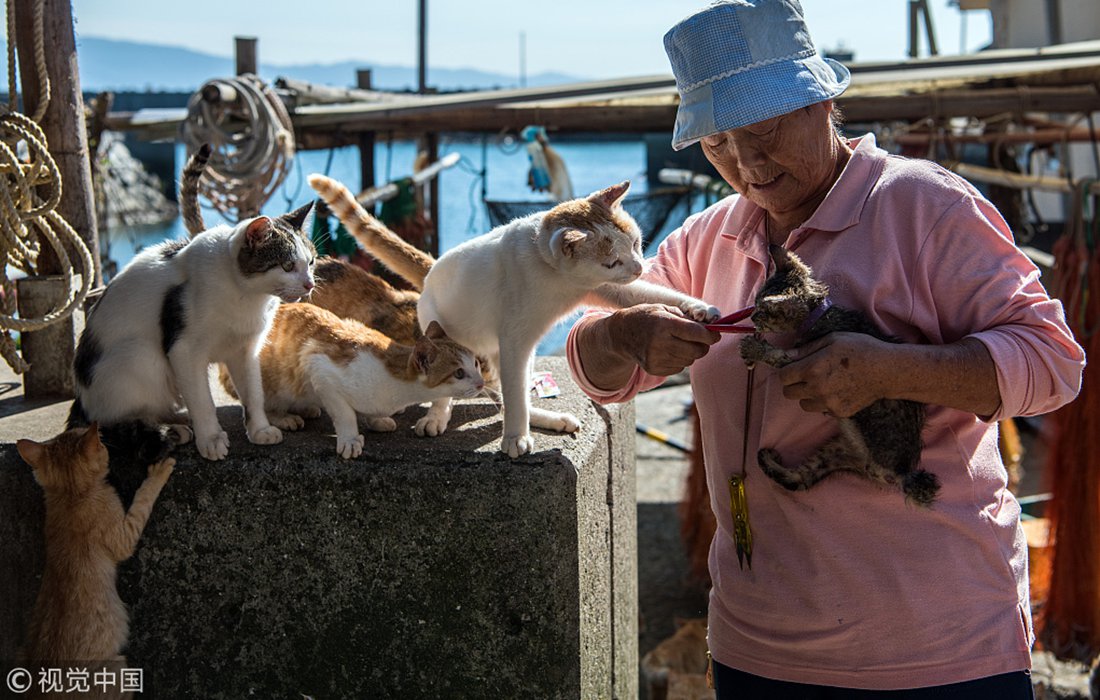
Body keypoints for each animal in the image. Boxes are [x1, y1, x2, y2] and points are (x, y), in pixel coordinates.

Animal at [16, 427, 173, 669]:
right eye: (100, 442)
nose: (104, 440)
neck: (70, 495)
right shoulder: (124, 536)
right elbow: (143, 499)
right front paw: (158, 473)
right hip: (118, 663)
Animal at [70, 143, 316, 460]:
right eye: (287, 266)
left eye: (311, 262)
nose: (309, 284)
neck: (247, 297)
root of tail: (81, 402)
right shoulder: (183, 351)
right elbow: (202, 399)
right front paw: (210, 438)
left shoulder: (246, 349)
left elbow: (254, 393)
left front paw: (260, 429)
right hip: (141, 356)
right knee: (118, 420)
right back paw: (173, 428)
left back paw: (178, 421)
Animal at [259, 301, 484, 460]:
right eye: (459, 373)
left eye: (476, 363)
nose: (481, 383)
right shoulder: (320, 370)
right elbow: (345, 414)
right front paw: (350, 439)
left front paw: (377, 419)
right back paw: (284, 418)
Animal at [310, 173, 721, 455]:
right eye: (612, 261)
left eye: (636, 244)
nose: (637, 267)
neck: (558, 278)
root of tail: (430, 270)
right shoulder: (514, 340)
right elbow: (514, 393)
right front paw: (515, 439)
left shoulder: (613, 290)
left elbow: (652, 293)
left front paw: (698, 308)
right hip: (453, 338)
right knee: (472, 391)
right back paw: (438, 416)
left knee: (514, 390)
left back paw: (547, 419)